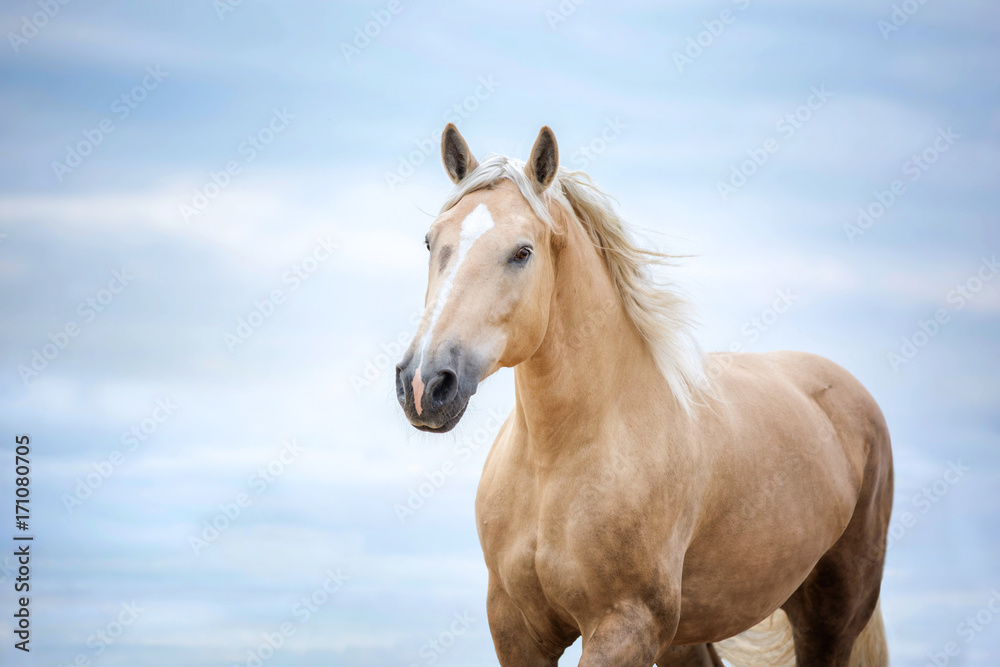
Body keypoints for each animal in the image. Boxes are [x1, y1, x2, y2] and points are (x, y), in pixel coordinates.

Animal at [394, 125, 896, 667]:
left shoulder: (624, 628)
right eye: (431, 242)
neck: (557, 461)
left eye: (522, 252)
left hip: (830, 618)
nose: (423, 383)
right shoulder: (516, 631)